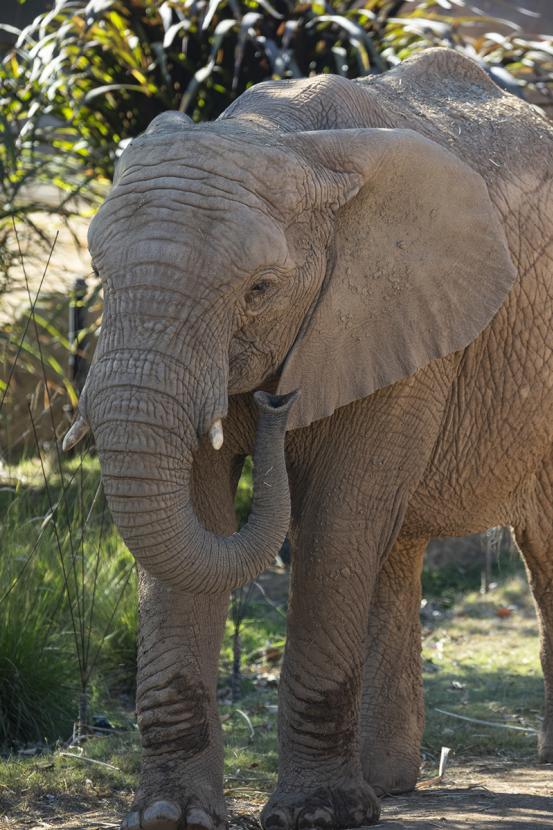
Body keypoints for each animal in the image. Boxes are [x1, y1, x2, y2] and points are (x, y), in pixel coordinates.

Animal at [63, 47, 553, 830]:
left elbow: (335, 523)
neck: (290, 141)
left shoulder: (402, 312)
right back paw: (387, 785)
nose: (274, 401)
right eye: (100, 274)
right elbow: (200, 518)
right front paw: (170, 815)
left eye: (259, 290)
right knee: (396, 549)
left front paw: (317, 815)